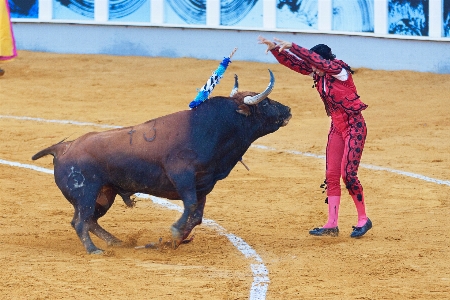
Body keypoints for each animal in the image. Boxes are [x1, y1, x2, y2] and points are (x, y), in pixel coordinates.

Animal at [32, 69, 292, 253]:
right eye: (266, 102)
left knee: (90, 221)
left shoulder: (203, 185)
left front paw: (171, 241)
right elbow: (190, 207)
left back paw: (117, 242)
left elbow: (197, 216)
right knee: (80, 222)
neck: (213, 128)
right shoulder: (182, 176)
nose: (288, 110)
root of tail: (64, 147)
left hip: (105, 195)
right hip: (86, 194)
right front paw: (175, 233)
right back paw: (94, 250)